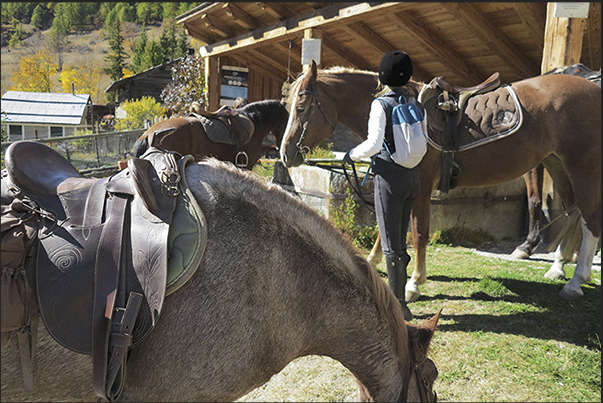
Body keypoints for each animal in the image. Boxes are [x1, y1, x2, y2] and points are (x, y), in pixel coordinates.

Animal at [280, 61, 600, 302]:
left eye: (301, 107)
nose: (285, 154)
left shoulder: (420, 190)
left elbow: (418, 233)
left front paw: (414, 285)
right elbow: (387, 230)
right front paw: (371, 264)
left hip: (583, 167)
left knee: (590, 220)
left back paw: (575, 282)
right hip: (557, 163)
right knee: (573, 212)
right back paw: (559, 266)